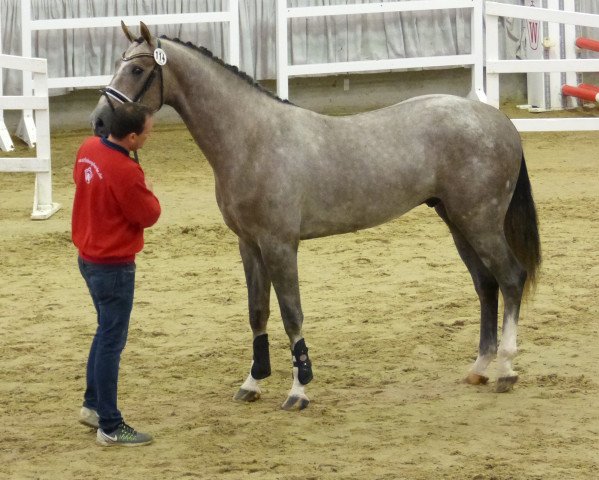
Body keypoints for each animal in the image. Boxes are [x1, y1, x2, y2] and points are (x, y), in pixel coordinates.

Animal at [90, 22, 544, 410]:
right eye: (117, 63)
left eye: (136, 68)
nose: (99, 120)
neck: (252, 139)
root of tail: (498, 121)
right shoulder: (249, 245)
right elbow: (257, 312)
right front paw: (252, 382)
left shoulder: (279, 245)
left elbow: (292, 314)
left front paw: (299, 389)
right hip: (457, 221)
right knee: (485, 285)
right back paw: (480, 367)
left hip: (480, 222)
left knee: (510, 278)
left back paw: (505, 369)